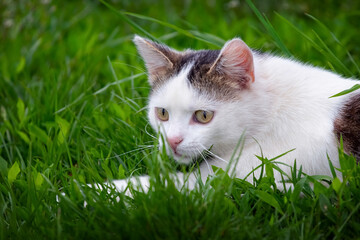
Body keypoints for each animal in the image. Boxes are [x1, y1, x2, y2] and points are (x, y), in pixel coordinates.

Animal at [109, 35, 360, 193]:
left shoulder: (228, 178)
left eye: (203, 116)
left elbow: (150, 187)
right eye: (162, 113)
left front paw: (99, 194)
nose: (172, 141)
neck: (273, 111)